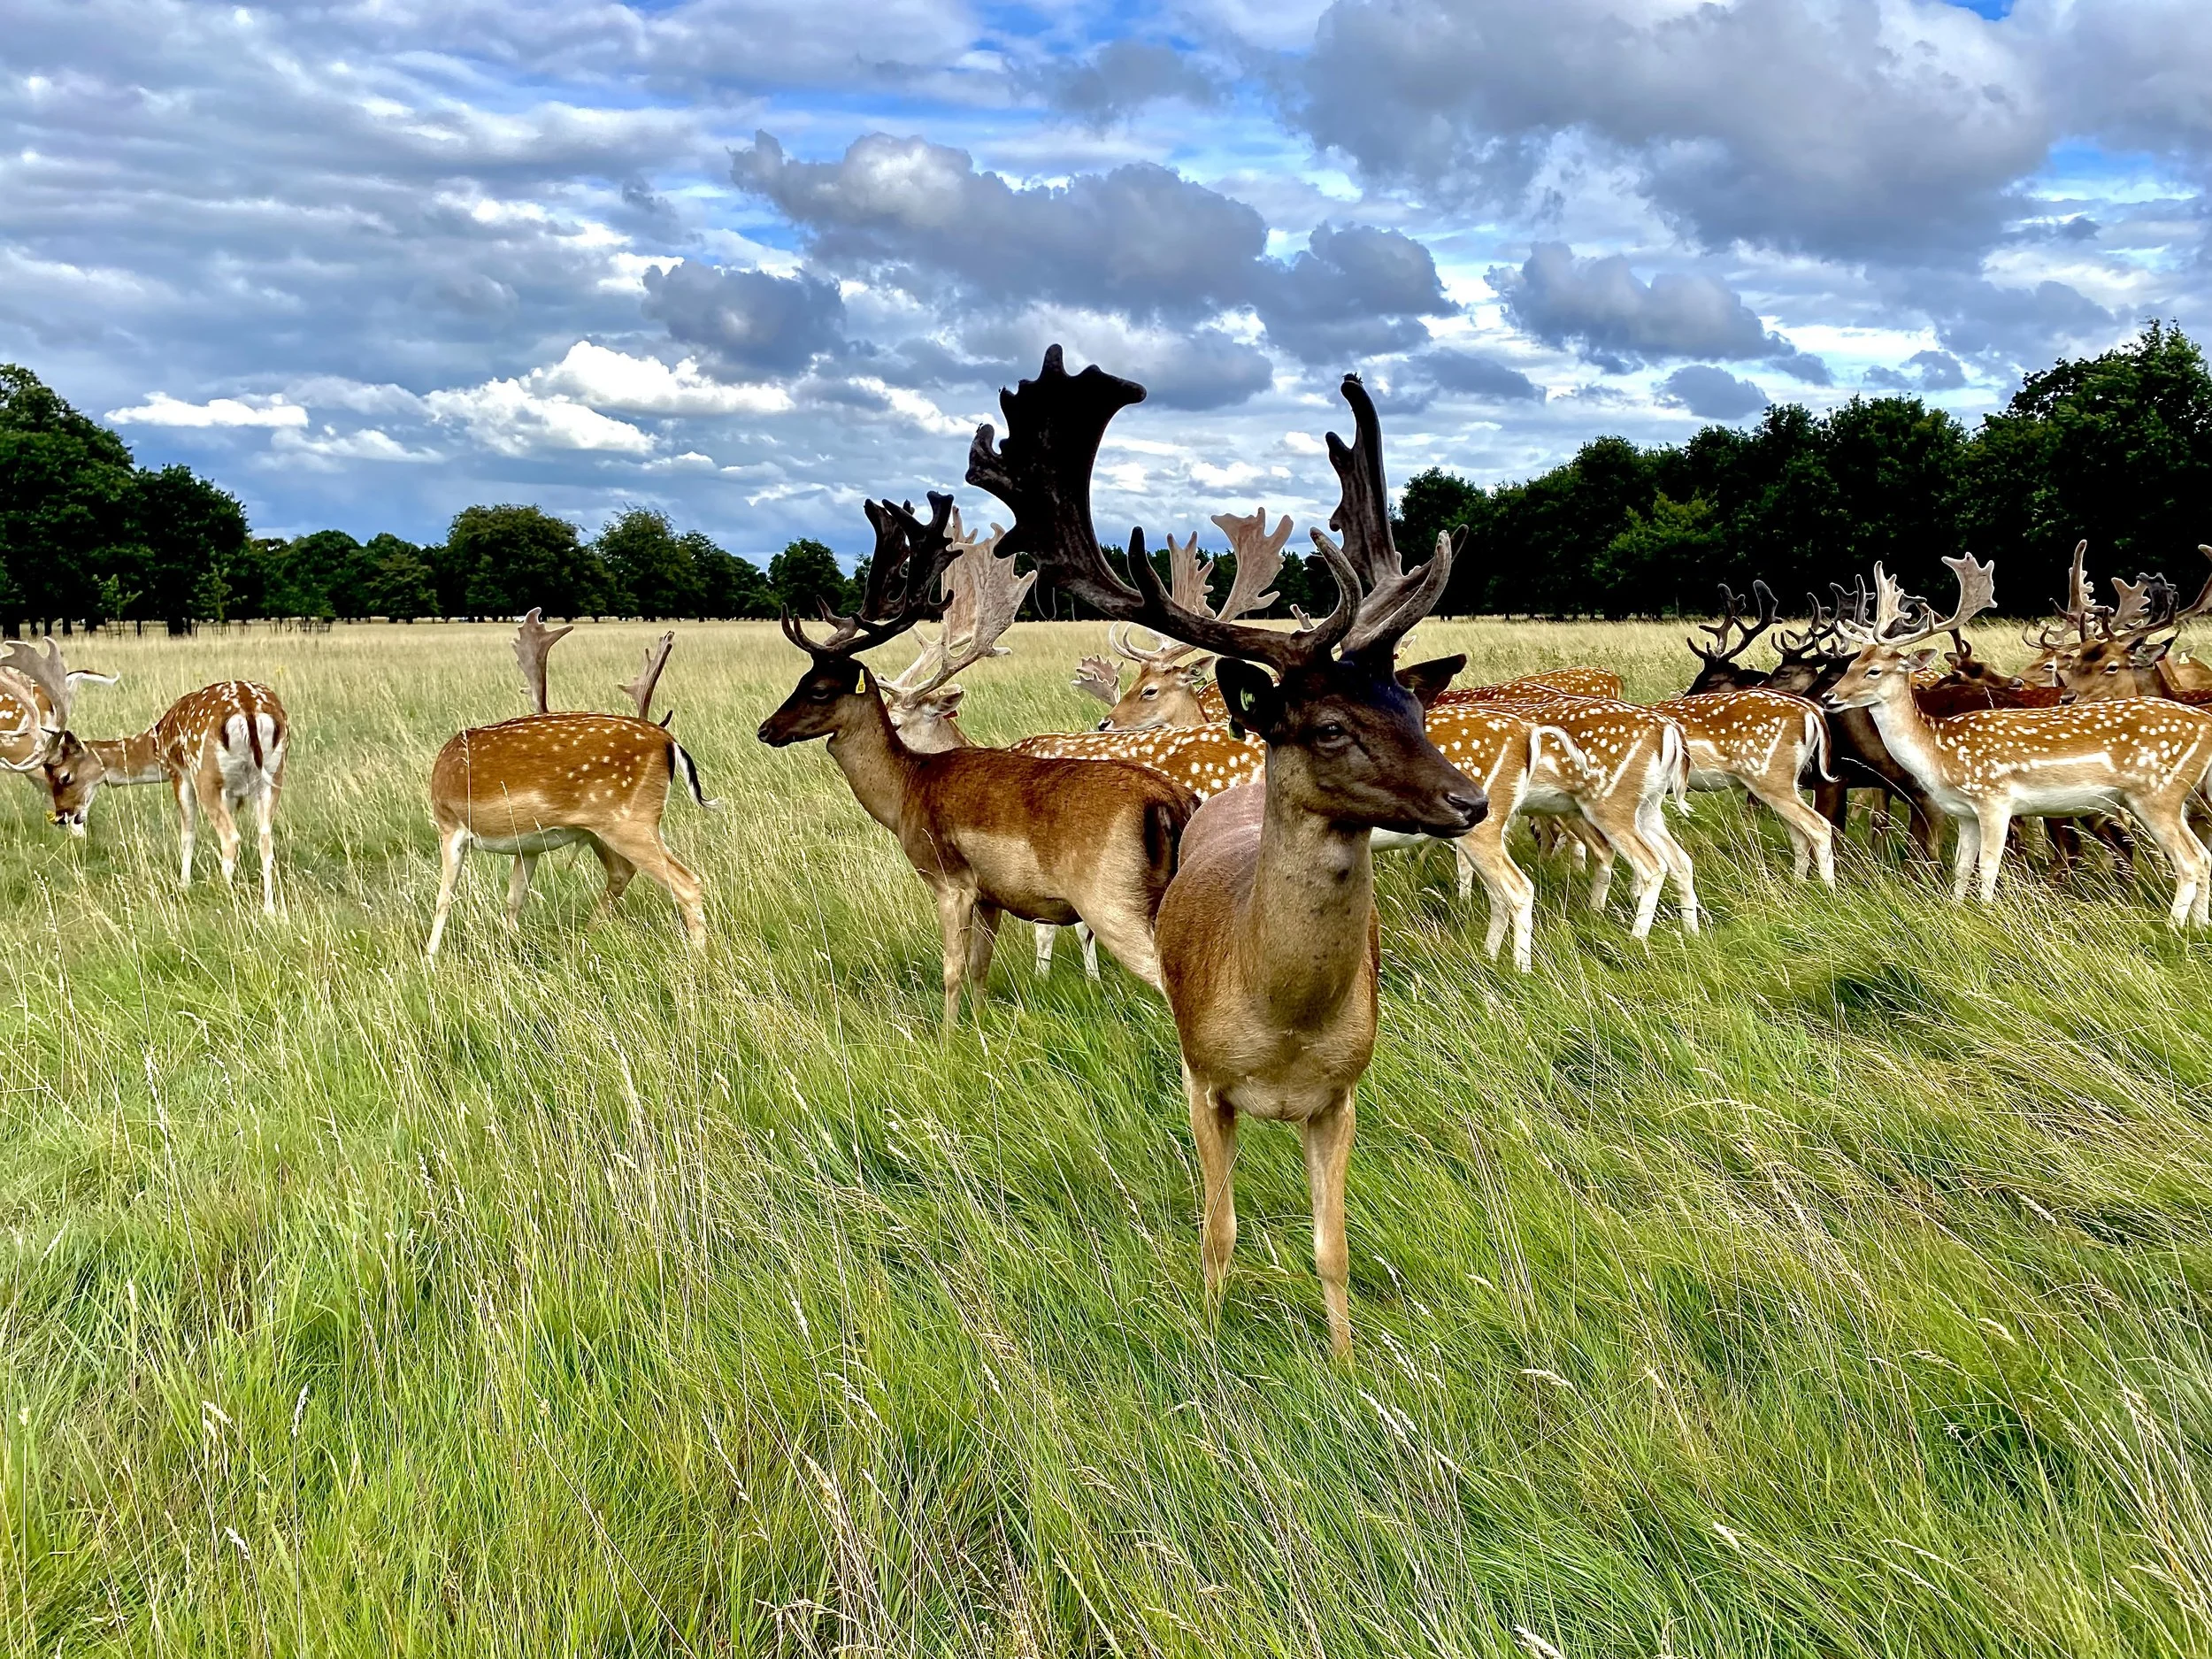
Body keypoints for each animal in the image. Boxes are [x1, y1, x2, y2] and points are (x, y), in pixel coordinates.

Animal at [8, 640, 290, 914]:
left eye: (64, 776)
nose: (62, 815)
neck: (157, 742)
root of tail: (249, 708)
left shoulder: (180, 773)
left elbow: (187, 833)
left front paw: (184, 884)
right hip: (273, 775)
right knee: (265, 838)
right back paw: (270, 909)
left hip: (206, 773)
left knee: (231, 837)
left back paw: (225, 897)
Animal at [426, 612, 714, 956]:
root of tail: (668, 741)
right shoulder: (528, 845)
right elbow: (515, 897)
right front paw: (511, 946)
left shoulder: (449, 825)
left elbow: (444, 897)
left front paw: (429, 957)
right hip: (611, 827)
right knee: (629, 874)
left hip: (630, 821)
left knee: (686, 882)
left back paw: (698, 957)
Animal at [758, 491, 1199, 1027]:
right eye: (799, 679)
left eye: (820, 689)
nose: (766, 729)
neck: (907, 790)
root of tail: (1174, 804)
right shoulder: (992, 895)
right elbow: (979, 971)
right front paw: (978, 1028)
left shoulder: (950, 878)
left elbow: (951, 968)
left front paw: (948, 1037)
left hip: (1112, 898)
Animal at [970, 347, 1482, 1357]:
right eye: (1328, 727)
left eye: (1414, 707)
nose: (1468, 799)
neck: (1282, 1022)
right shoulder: (1205, 1080)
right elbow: (1218, 1228)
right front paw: (1206, 1339)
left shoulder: (1343, 1094)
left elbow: (1333, 1246)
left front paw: (1345, 1362)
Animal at [1826, 556, 2212, 924]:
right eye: (1848, 666)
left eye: (1874, 671)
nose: (1830, 697)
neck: (1938, 748)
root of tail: (2204, 725)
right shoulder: (1965, 813)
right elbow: (1961, 868)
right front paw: (1957, 910)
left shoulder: (1995, 800)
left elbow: (1988, 867)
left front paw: (1985, 915)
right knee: (2203, 856)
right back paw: (2197, 924)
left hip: (2158, 794)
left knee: (2189, 859)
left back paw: (2174, 926)